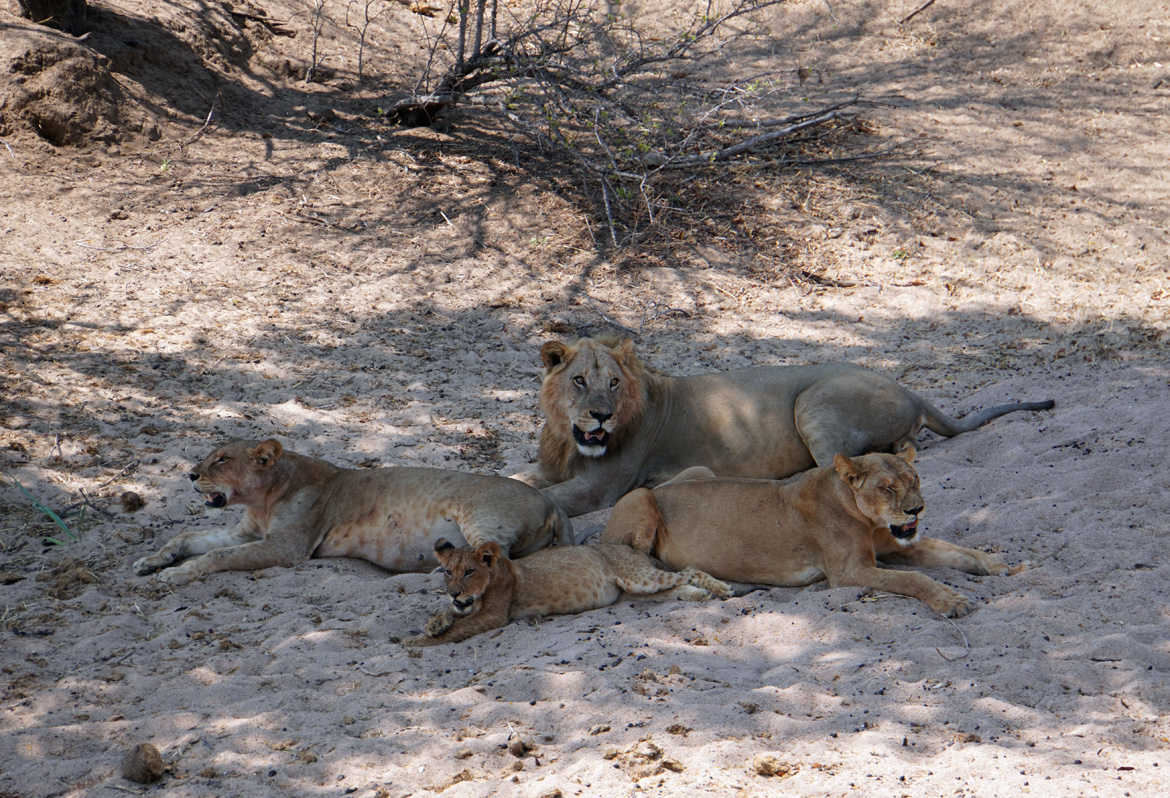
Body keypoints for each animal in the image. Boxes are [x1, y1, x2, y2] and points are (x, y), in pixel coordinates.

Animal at [133, 439, 573, 586]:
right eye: (210, 456)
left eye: (222, 459)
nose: (191, 474)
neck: (263, 499)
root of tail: (552, 502)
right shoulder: (247, 533)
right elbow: (188, 537)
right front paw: (151, 561)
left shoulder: (286, 547)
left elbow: (217, 555)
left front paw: (174, 574)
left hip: (478, 515)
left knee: (498, 558)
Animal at [403, 538, 732, 646]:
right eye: (448, 572)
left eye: (470, 571)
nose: (453, 592)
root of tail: (633, 549)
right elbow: (450, 617)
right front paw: (434, 624)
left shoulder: (495, 615)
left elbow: (460, 629)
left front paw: (415, 642)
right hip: (637, 592)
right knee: (677, 587)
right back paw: (700, 596)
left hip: (640, 578)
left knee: (689, 570)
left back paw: (722, 589)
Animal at [523, 335, 1054, 516]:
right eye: (579, 380)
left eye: (613, 383)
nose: (601, 414)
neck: (570, 441)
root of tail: (912, 391)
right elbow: (523, 482)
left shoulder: (600, 487)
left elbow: (548, 497)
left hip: (812, 402)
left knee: (835, 468)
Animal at [600, 445, 1026, 618]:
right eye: (887, 488)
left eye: (914, 480)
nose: (915, 509)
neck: (867, 519)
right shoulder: (849, 573)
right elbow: (914, 580)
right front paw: (951, 601)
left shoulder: (898, 543)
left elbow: (956, 551)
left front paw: (1003, 566)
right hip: (642, 498)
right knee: (635, 580)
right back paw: (704, 589)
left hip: (701, 470)